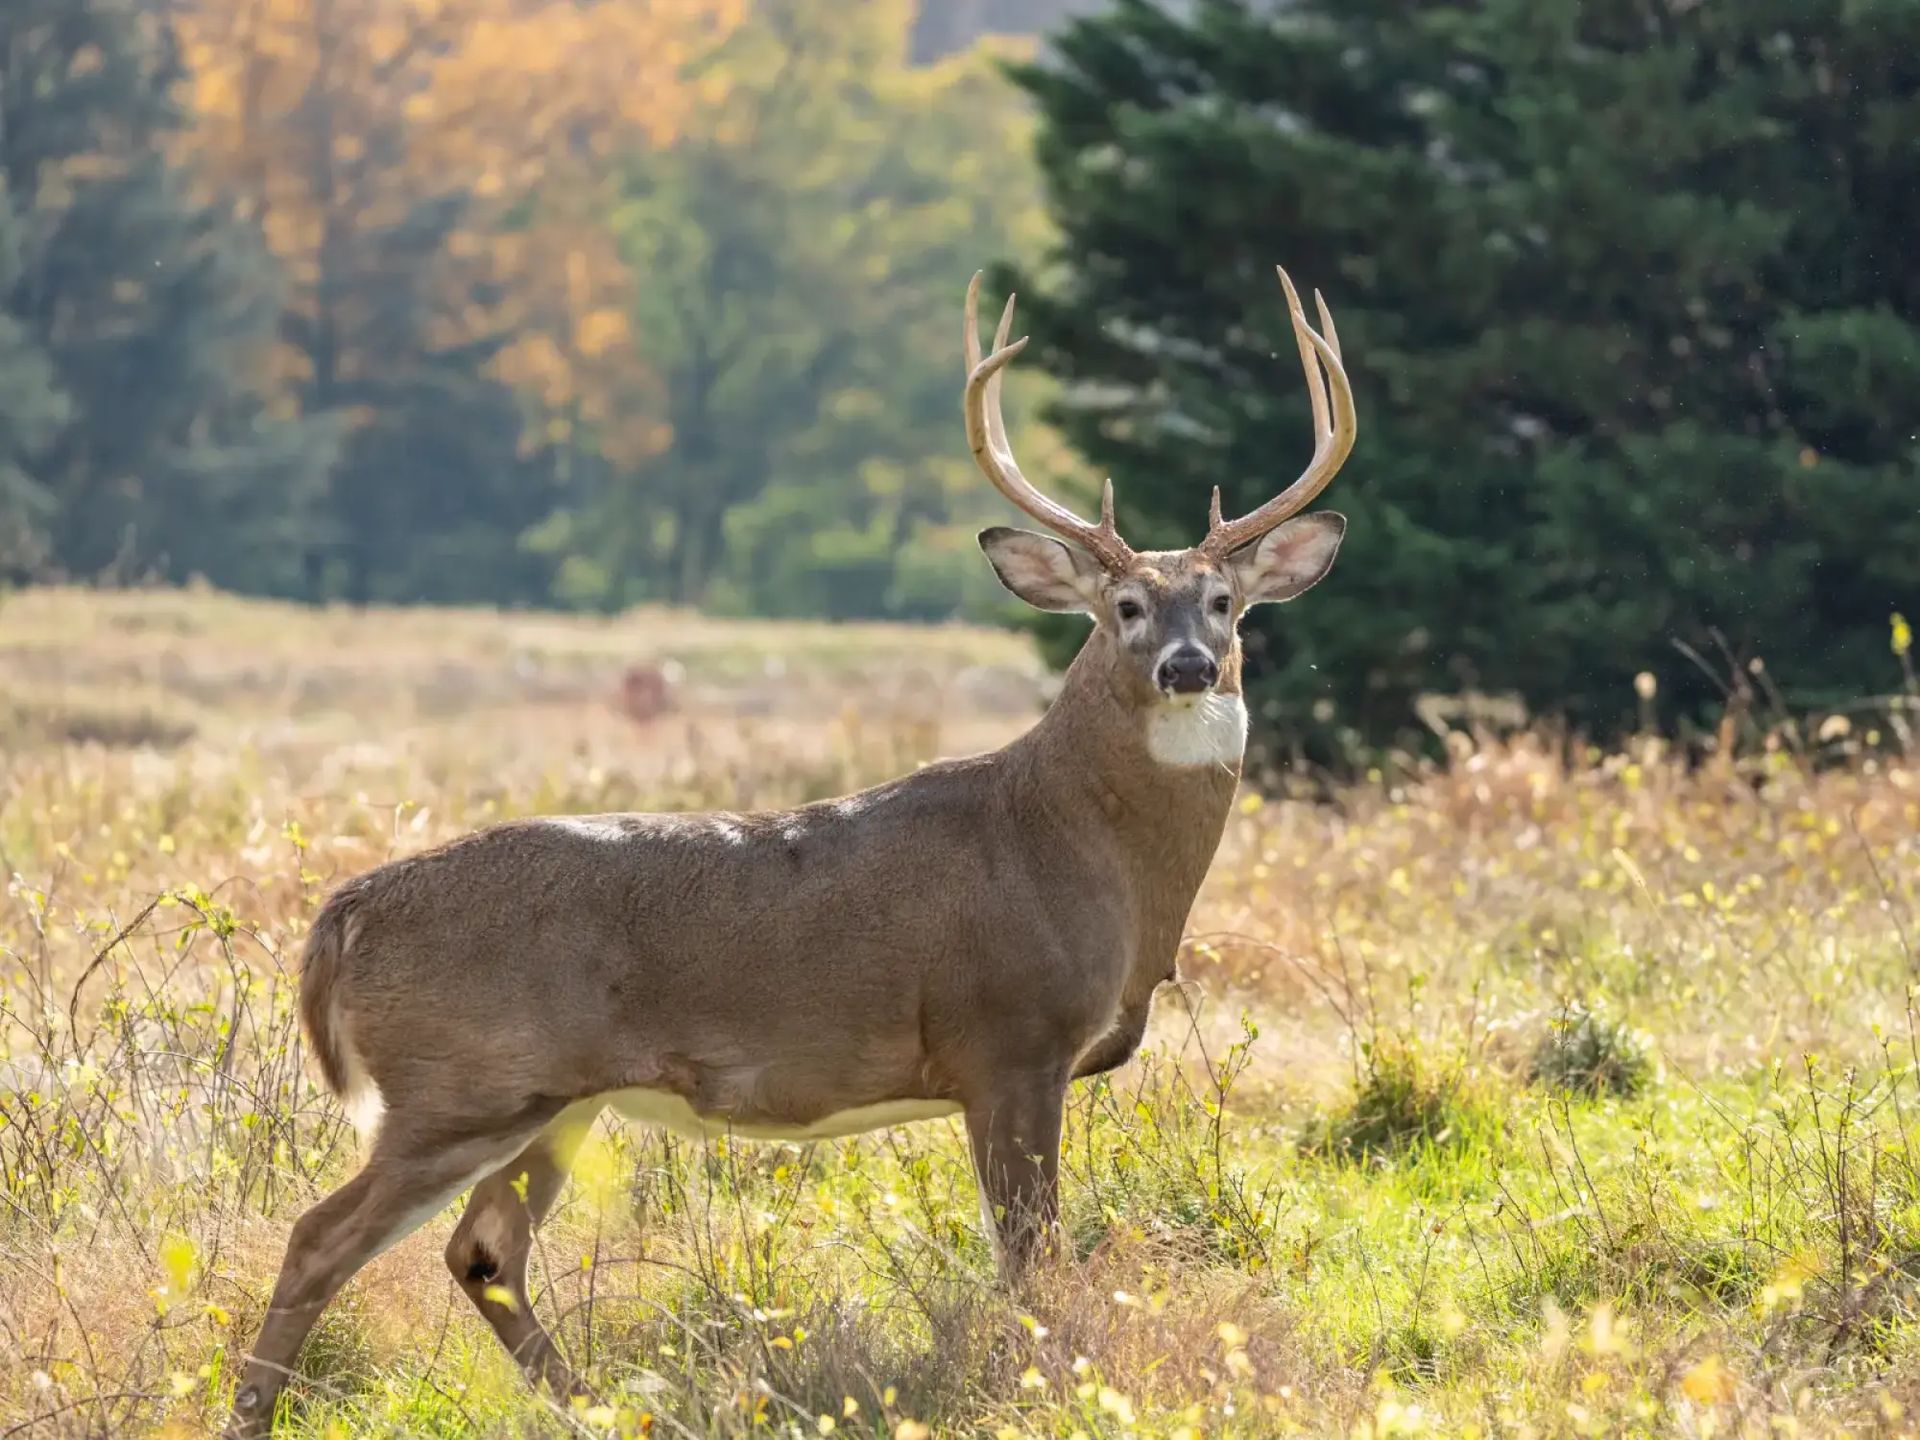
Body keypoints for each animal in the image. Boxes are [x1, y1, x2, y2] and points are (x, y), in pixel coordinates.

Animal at [226, 266, 1355, 1437]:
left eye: (1225, 603)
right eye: (1125, 605)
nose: (1188, 665)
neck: (1080, 851)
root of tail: (345, 913)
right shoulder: (1010, 1040)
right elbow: (1030, 1260)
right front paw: (1040, 1382)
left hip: (551, 1099)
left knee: (484, 1251)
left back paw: (603, 1408)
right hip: (461, 1084)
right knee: (323, 1237)